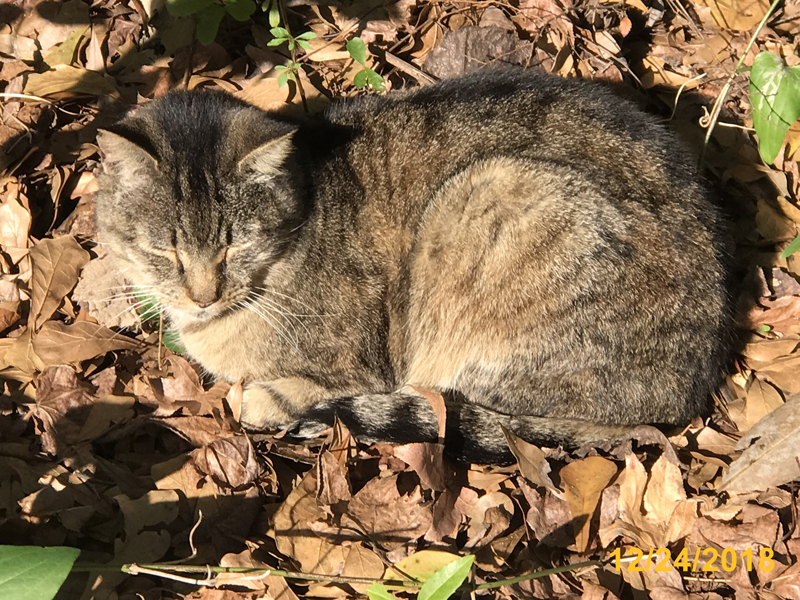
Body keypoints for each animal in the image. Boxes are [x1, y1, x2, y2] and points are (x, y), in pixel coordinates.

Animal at [95, 71, 732, 463]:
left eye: (234, 247)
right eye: (165, 251)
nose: (203, 296)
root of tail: (688, 396)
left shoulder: (359, 368)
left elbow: (285, 390)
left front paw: (260, 397)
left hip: (497, 198)